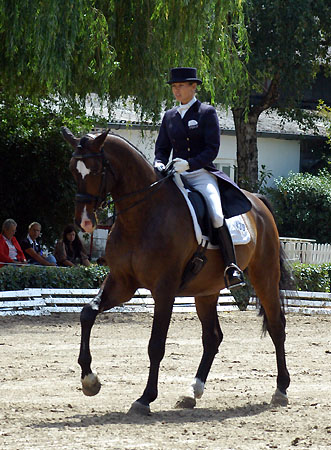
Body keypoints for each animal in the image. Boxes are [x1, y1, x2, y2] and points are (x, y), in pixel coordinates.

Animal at [61, 126, 290, 414]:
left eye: (96, 169)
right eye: (72, 169)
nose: (85, 222)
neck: (142, 215)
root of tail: (257, 203)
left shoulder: (164, 289)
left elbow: (156, 344)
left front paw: (145, 398)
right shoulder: (122, 283)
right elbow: (87, 313)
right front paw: (90, 381)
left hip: (264, 276)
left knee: (276, 325)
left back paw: (281, 389)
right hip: (206, 290)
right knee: (212, 337)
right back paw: (192, 391)